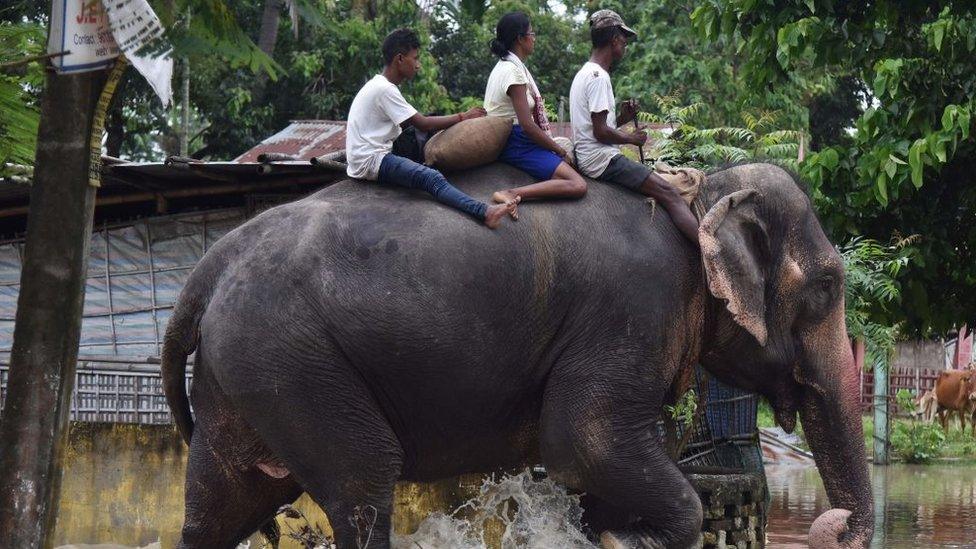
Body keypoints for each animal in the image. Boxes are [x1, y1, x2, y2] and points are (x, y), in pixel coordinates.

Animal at [162, 163, 876, 548]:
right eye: (826, 287)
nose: (835, 521)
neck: (699, 192)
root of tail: (206, 271)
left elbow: (596, 468)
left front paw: (608, 530)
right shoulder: (631, 309)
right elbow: (585, 444)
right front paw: (625, 536)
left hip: (246, 372)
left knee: (222, 504)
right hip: (292, 363)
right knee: (363, 482)